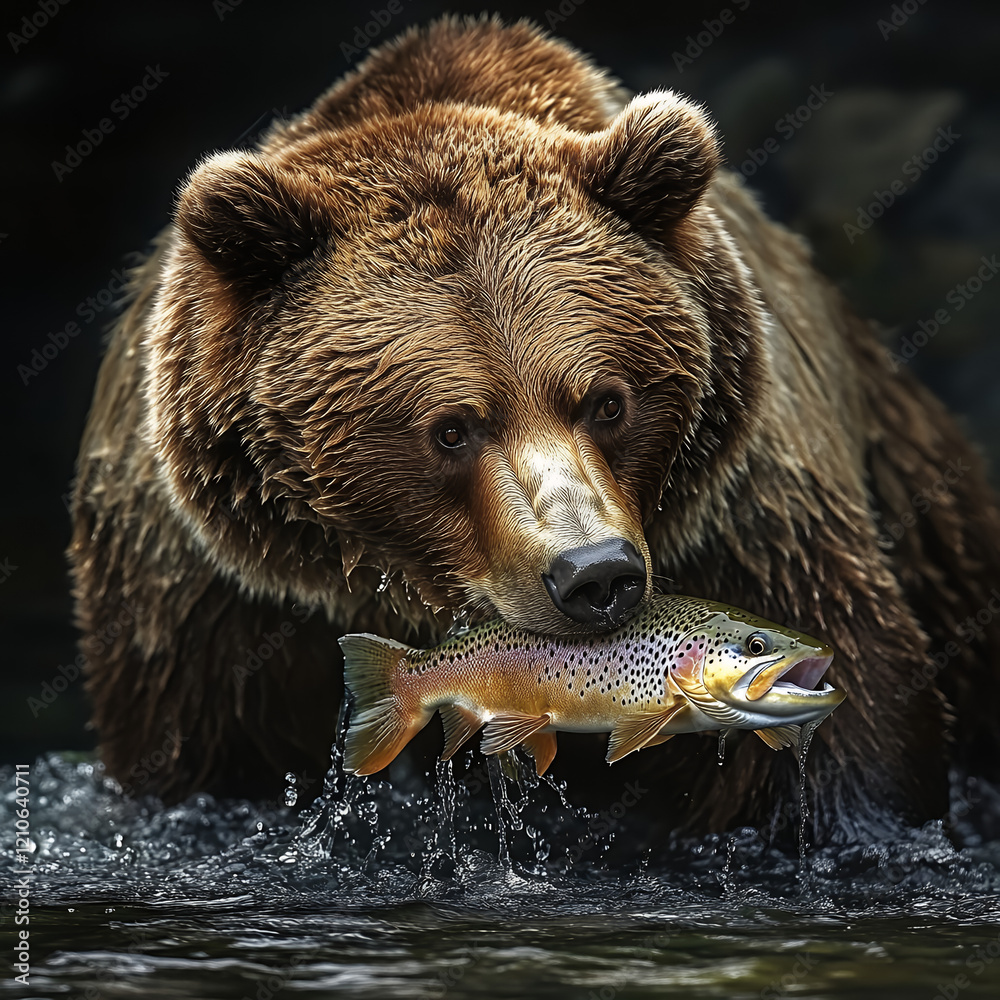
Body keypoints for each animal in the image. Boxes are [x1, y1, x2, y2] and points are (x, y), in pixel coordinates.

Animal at [70, 15, 1000, 843]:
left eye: (608, 402)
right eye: (451, 429)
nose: (597, 574)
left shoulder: (747, 512)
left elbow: (851, 746)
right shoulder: (208, 593)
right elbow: (200, 757)